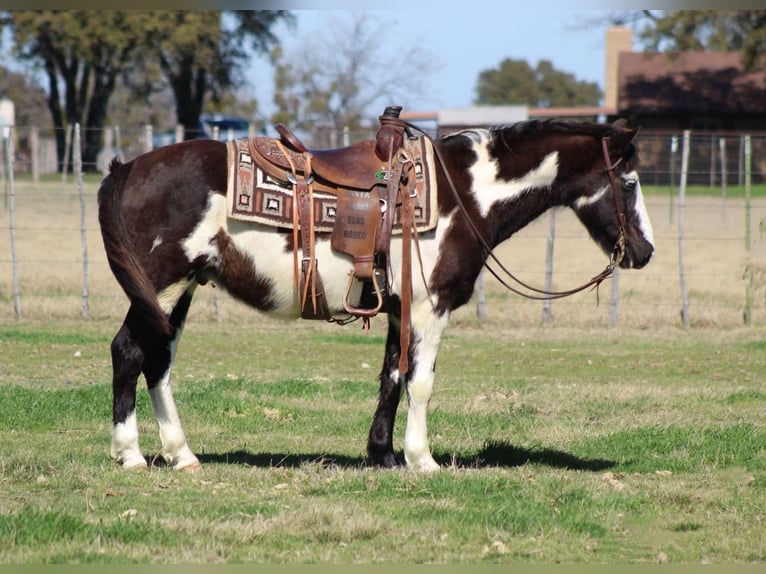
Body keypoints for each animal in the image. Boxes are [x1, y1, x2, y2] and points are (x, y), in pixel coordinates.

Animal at [97, 118, 655, 473]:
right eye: (628, 183)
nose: (645, 251)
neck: (464, 195)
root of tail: (128, 167)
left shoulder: (398, 309)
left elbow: (391, 376)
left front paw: (383, 454)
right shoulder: (431, 306)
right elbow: (421, 382)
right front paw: (422, 459)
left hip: (181, 290)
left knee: (158, 361)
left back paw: (182, 454)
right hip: (163, 286)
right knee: (130, 352)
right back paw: (131, 454)